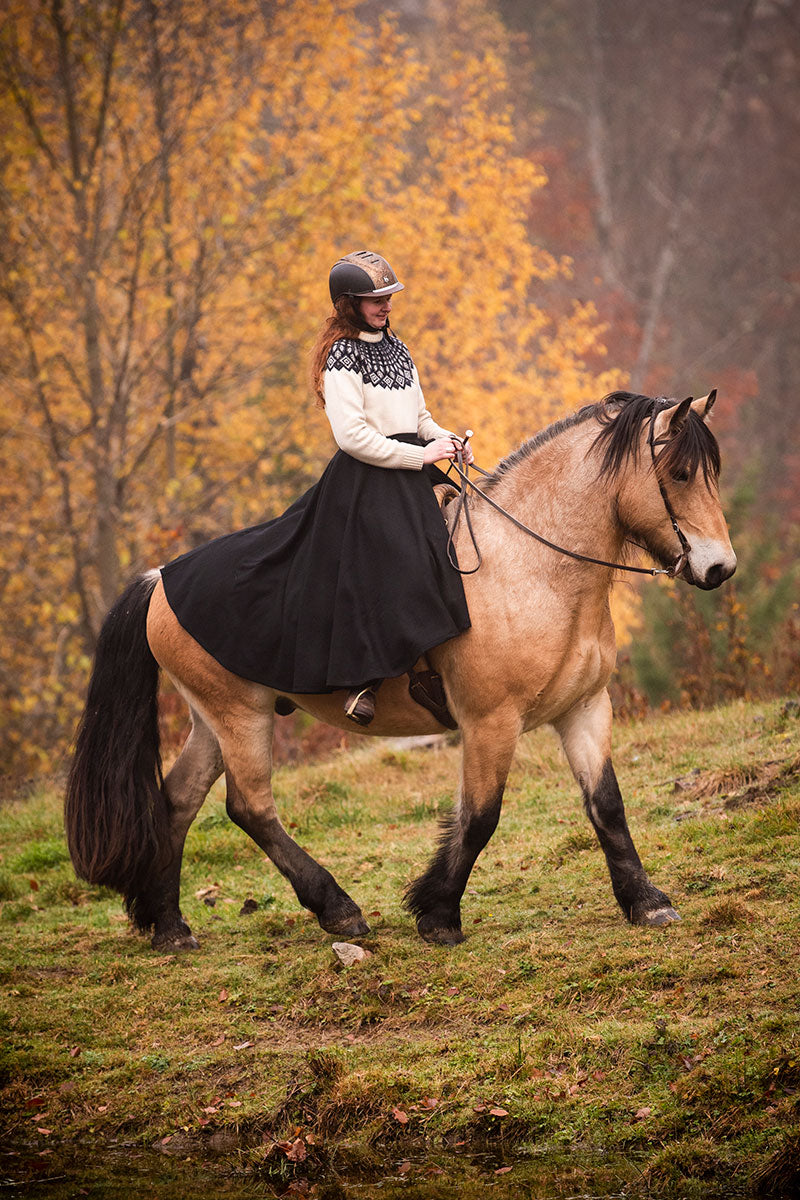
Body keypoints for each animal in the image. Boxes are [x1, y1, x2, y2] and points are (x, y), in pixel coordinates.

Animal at [64, 388, 738, 950]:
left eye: (712, 473)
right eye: (680, 474)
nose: (720, 569)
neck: (532, 568)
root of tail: (160, 580)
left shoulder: (584, 708)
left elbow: (607, 805)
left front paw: (645, 902)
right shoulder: (490, 721)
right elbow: (481, 816)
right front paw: (438, 914)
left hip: (210, 720)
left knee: (177, 802)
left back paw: (170, 926)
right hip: (240, 716)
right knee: (249, 808)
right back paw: (337, 909)